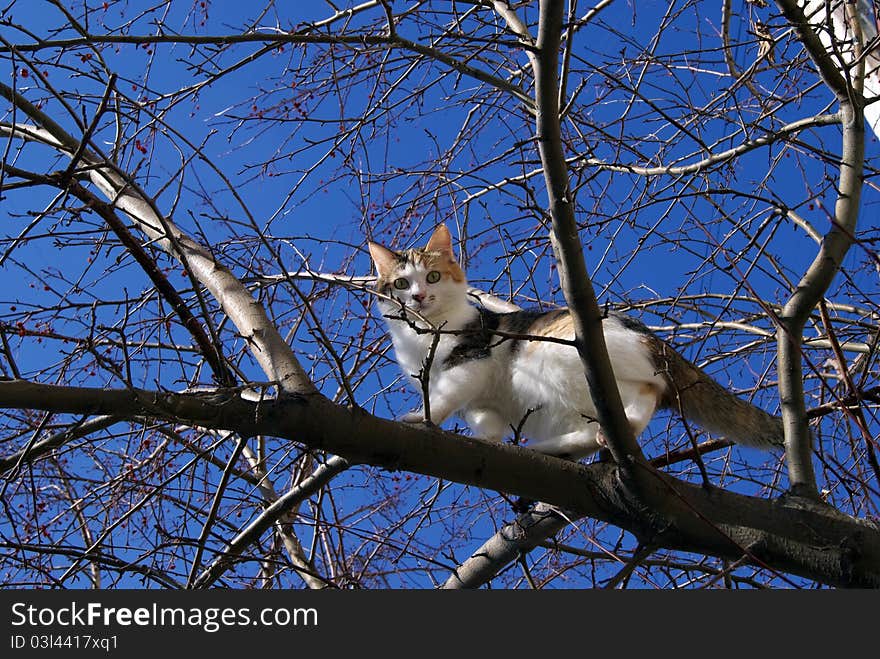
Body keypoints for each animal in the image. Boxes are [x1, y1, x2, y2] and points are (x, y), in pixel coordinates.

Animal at [364, 223, 784, 458]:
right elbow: (487, 420)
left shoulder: (471, 359)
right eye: (401, 284)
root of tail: (653, 339)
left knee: (642, 401)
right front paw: (488, 440)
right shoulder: (482, 404)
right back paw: (555, 447)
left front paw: (419, 418)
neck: (423, 336)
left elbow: (444, 396)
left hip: (550, 360)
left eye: (432, 277)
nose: (419, 297)